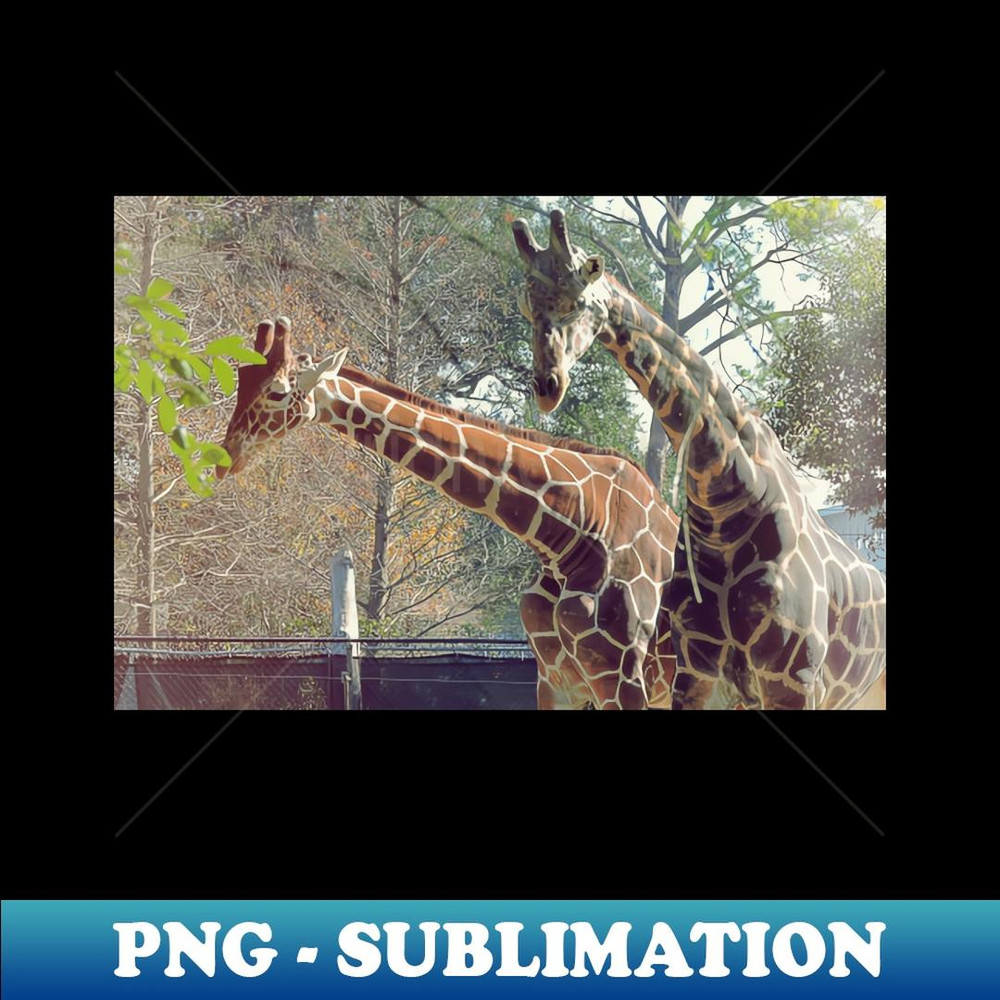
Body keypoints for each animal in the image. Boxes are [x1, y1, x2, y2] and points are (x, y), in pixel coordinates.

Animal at [217, 317, 679, 710]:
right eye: (241, 380)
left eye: (277, 391)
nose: (226, 458)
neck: (569, 531)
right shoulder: (555, 679)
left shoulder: (625, 682)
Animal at [512, 210, 886, 711]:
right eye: (526, 306)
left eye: (577, 303)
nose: (547, 387)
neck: (728, 504)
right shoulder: (695, 674)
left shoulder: (793, 680)